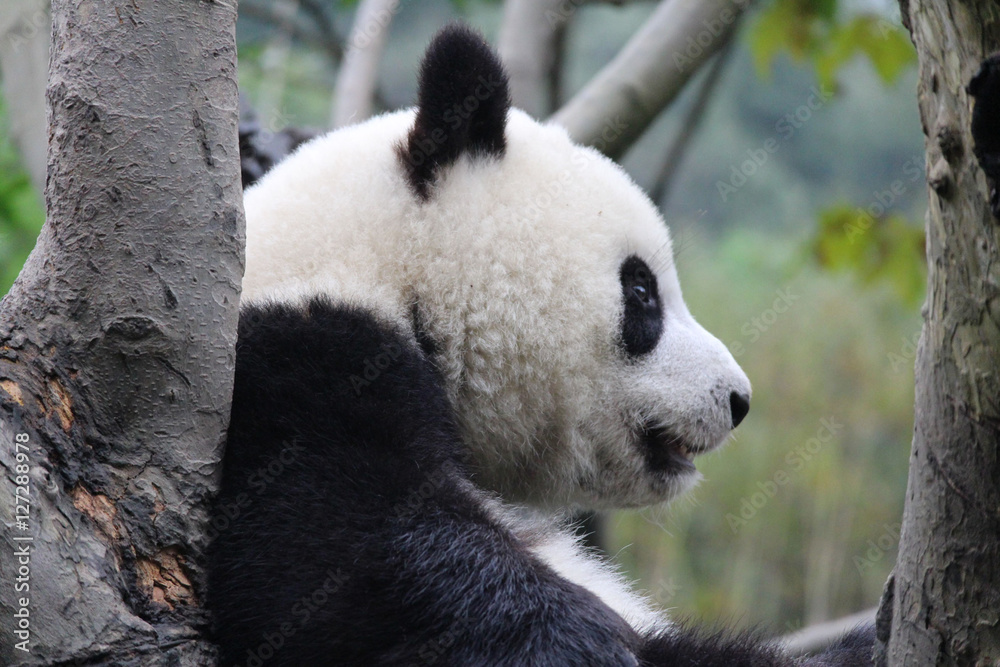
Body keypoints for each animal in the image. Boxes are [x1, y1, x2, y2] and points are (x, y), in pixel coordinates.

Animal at [208, 24, 875, 666]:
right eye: (642, 290)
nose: (737, 400)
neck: (386, 274)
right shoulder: (295, 361)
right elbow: (323, 544)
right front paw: (577, 636)